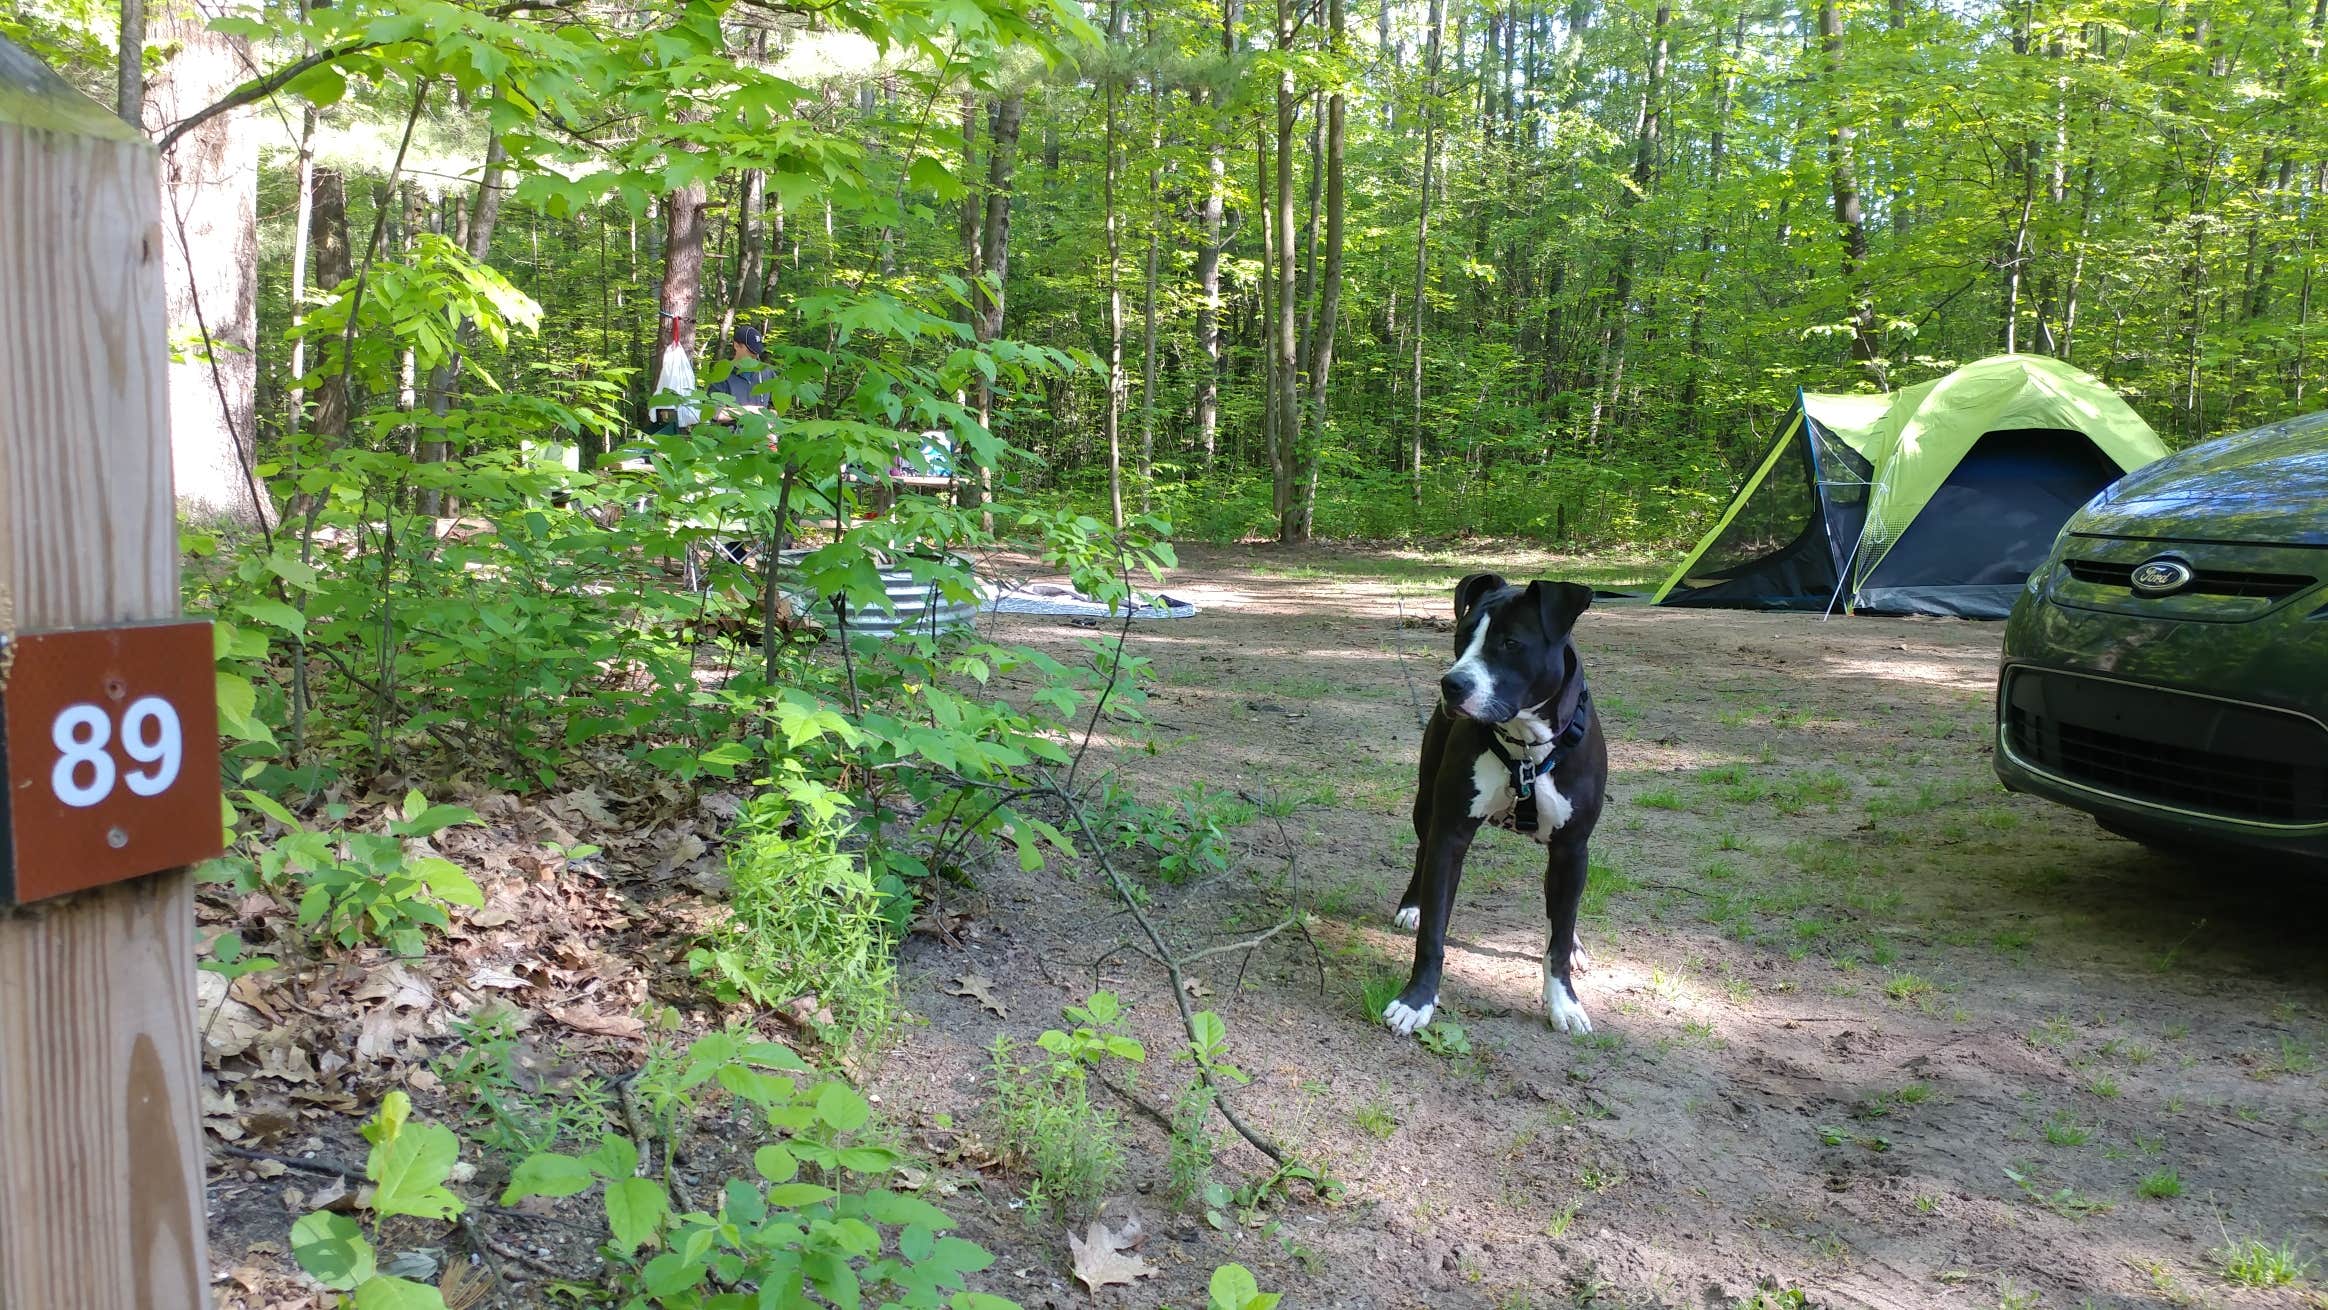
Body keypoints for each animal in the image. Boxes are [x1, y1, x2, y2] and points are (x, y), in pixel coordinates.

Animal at [1378, 574, 1601, 1037]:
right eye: (1462, 637)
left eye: (1511, 643)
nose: (1453, 684)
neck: (1526, 748)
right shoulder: (1450, 833)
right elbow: (1433, 932)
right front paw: (1416, 1002)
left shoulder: (1572, 848)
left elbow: (1558, 934)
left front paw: (1565, 1003)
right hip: (1425, 804)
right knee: (1421, 849)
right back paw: (1412, 905)